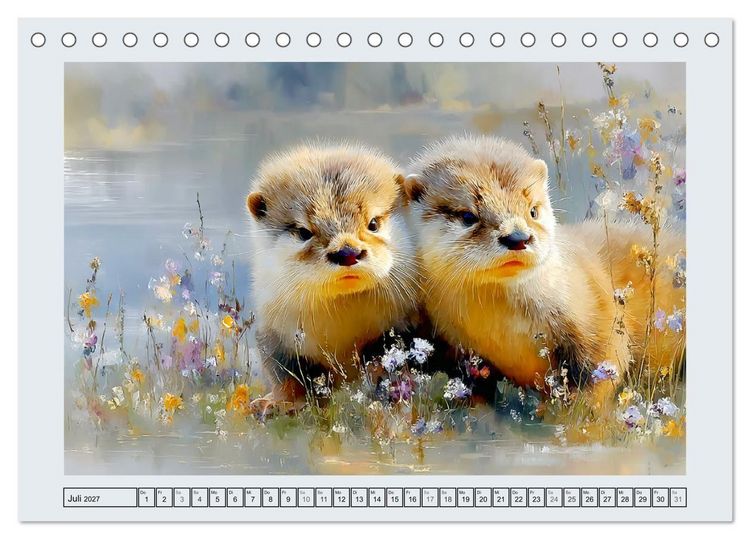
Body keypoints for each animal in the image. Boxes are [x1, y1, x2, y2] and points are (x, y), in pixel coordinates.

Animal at [246, 142, 421, 405]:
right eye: (303, 232)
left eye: (373, 223)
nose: (347, 252)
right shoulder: (273, 335)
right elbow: (286, 374)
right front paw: (277, 403)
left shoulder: (403, 324)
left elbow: (385, 356)